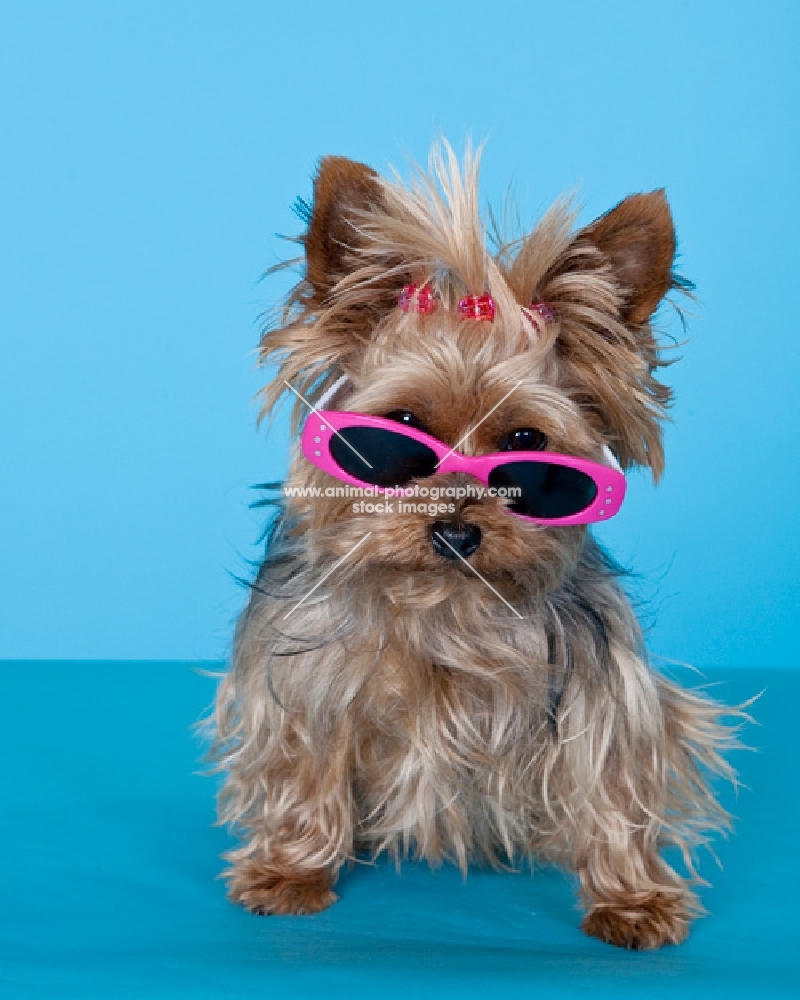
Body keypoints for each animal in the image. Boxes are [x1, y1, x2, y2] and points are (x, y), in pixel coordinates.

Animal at [209, 141, 740, 944]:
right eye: (398, 432)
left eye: (527, 444)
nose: (456, 531)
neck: (444, 606)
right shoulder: (305, 682)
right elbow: (306, 760)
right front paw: (293, 868)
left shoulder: (598, 690)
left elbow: (611, 778)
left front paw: (630, 897)